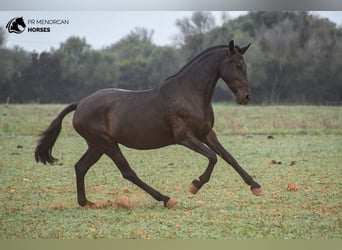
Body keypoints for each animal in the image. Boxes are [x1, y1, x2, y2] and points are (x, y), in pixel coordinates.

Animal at [34, 40, 264, 209]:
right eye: (238, 65)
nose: (246, 97)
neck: (189, 93)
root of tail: (80, 104)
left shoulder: (207, 133)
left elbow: (228, 157)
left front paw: (256, 187)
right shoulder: (184, 137)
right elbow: (213, 157)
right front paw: (194, 185)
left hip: (96, 146)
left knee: (81, 167)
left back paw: (86, 202)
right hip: (107, 144)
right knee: (128, 172)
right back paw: (166, 199)